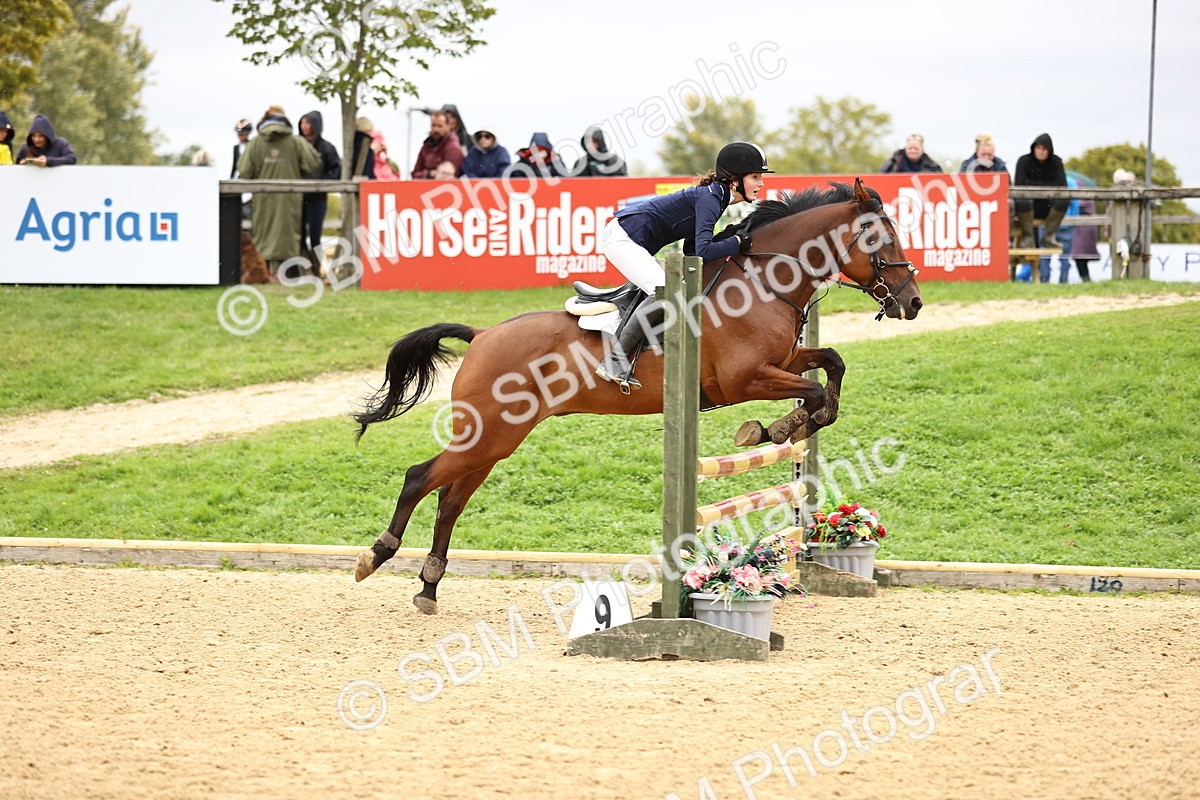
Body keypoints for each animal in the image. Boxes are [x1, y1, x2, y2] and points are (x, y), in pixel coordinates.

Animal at [352, 178, 922, 613]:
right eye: (882, 239)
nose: (913, 303)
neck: (765, 280)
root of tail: (482, 335)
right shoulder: (746, 379)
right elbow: (813, 389)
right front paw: (775, 427)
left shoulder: (782, 361)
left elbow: (832, 364)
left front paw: (795, 422)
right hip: (487, 432)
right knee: (419, 478)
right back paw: (375, 556)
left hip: (497, 438)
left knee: (450, 499)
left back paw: (428, 587)